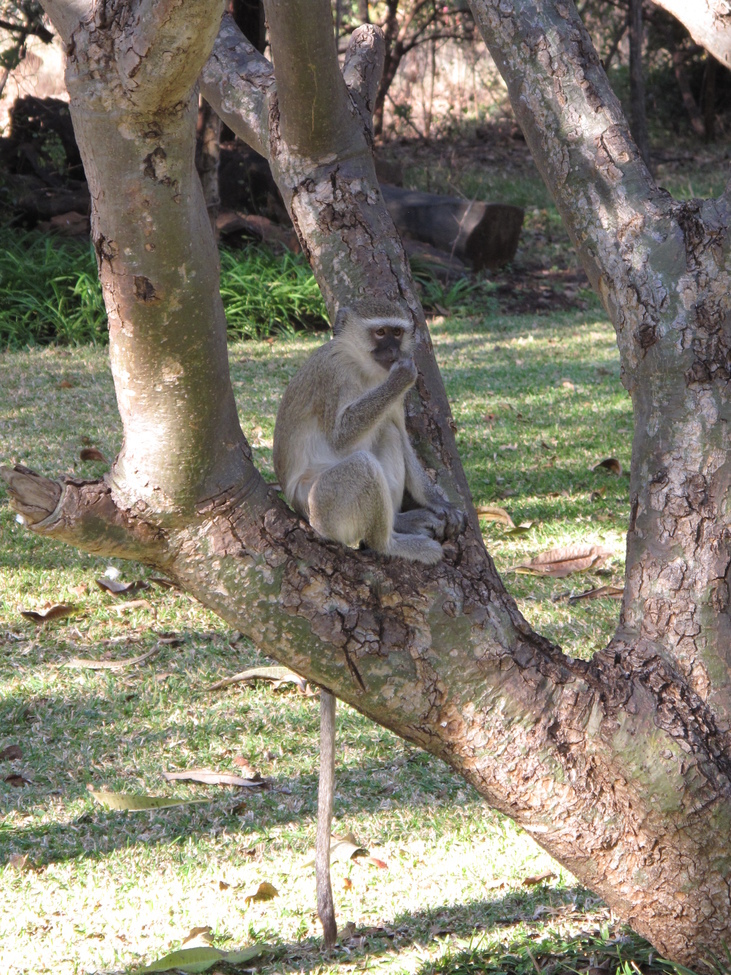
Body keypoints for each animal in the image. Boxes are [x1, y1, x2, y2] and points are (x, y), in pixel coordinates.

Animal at [273, 299, 465, 946]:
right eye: (381, 333)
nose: (394, 352)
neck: (362, 366)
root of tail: (302, 517)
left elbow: (400, 430)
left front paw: (438, 503)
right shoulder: (338, 379)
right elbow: (344, 431)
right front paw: (406, 377)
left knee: (384, 433)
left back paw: (411, 524)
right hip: (325, 509)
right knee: (358, 457)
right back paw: (395, 544)